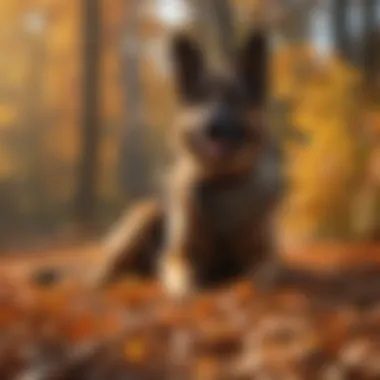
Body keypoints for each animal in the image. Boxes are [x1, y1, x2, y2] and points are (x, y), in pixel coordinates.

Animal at [91, 29, 282, 296]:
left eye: (234, 98)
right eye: (200, 99)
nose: (213, 127)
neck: (222, 182)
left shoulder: (265, 255)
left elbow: (263, 275)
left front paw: (247, 286)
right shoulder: (177, 255)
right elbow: (184, 279)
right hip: (143, 218)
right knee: (106, 269)